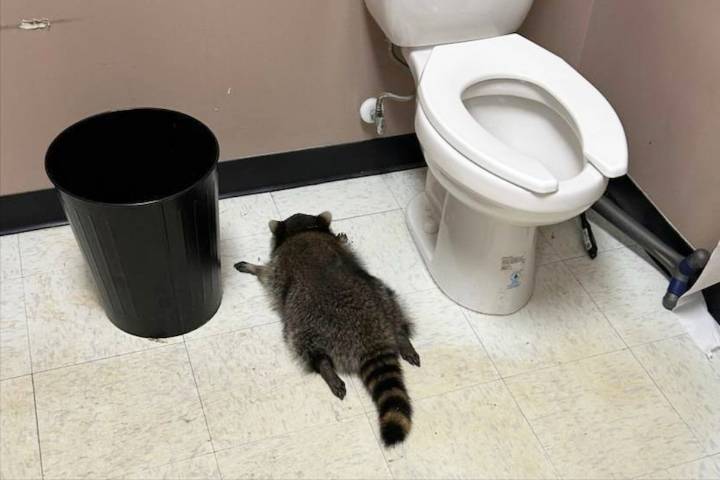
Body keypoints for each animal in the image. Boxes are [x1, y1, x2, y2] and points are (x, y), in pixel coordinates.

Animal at [234, 211, 420, 446]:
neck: (303, 230)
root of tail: (371, 337)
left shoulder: (278, 268)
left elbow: (267, 274)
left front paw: (254, 267)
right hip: (382, 295)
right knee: (393, 306)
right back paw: (402, 337)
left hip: (306, 322)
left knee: (304, 345)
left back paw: (325, 367)